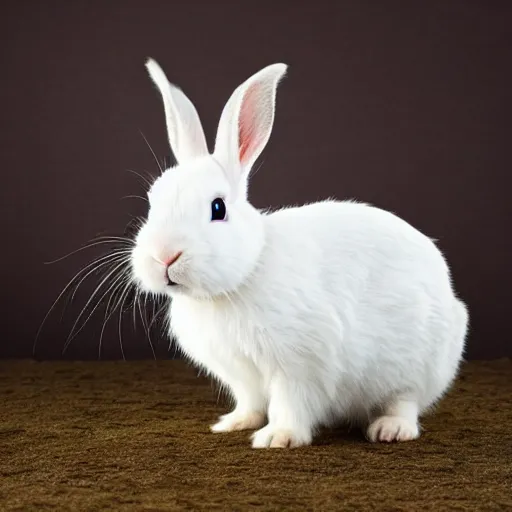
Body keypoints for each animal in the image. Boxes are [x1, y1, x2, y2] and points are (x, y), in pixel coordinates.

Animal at [131, 59, 468, 448]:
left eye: (218, 208)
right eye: (152, 201)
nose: (164, 256)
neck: (240, 280)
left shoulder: (300, 363)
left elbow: (289, 402)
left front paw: (277, 437)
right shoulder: (241, 375)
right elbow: (250, 401)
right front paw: (234, 423)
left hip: (414, 366)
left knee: (406, 401)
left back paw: (389, 430)